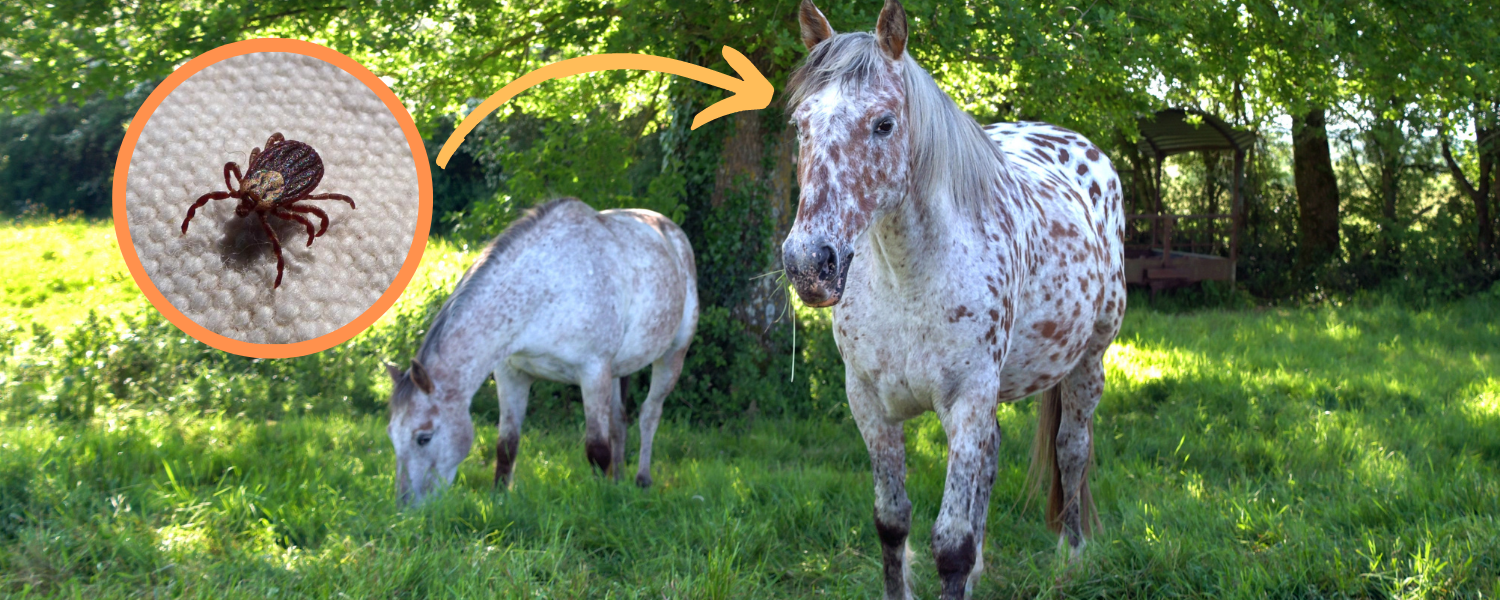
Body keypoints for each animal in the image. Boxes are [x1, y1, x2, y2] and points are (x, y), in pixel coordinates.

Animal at [384, 198, 699, 505]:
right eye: (391, 435)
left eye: (423, 437)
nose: (406, 509)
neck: (545, 287)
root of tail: (671, 230)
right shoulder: (511, 373)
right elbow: (506, 445)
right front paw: (499, 499)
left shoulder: (593, 371)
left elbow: (597, 449)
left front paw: (601, 500)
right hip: (615, 371)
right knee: (619, 423)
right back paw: (619, 480)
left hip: (672, 356)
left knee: (649, 414)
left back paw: (642, 480)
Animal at [781, 1, 1126, 598]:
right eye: (801, 124)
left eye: (884, 123)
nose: (809, 262)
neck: (907, 280)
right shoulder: (869, 404)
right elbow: (892, 524)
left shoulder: (967, 399)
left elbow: (952, 544)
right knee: (993, 460)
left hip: (1088, 363)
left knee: (1072, 451)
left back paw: (1072, 557)